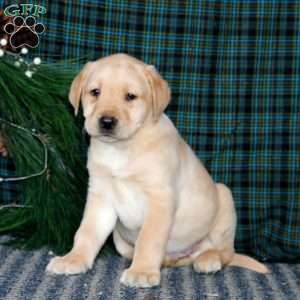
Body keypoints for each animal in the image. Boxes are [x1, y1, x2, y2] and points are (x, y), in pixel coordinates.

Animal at [46, 54, 268, 288]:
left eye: (130, 96)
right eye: (95, 92)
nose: (106, 121)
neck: (122, 148)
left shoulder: (160, 199)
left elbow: (149, 238)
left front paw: (142, 271)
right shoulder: (101, 196)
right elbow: (86, 232)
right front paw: (73, 259)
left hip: (224, 201)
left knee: (225, 252)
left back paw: (208, 259)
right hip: (120, 241)